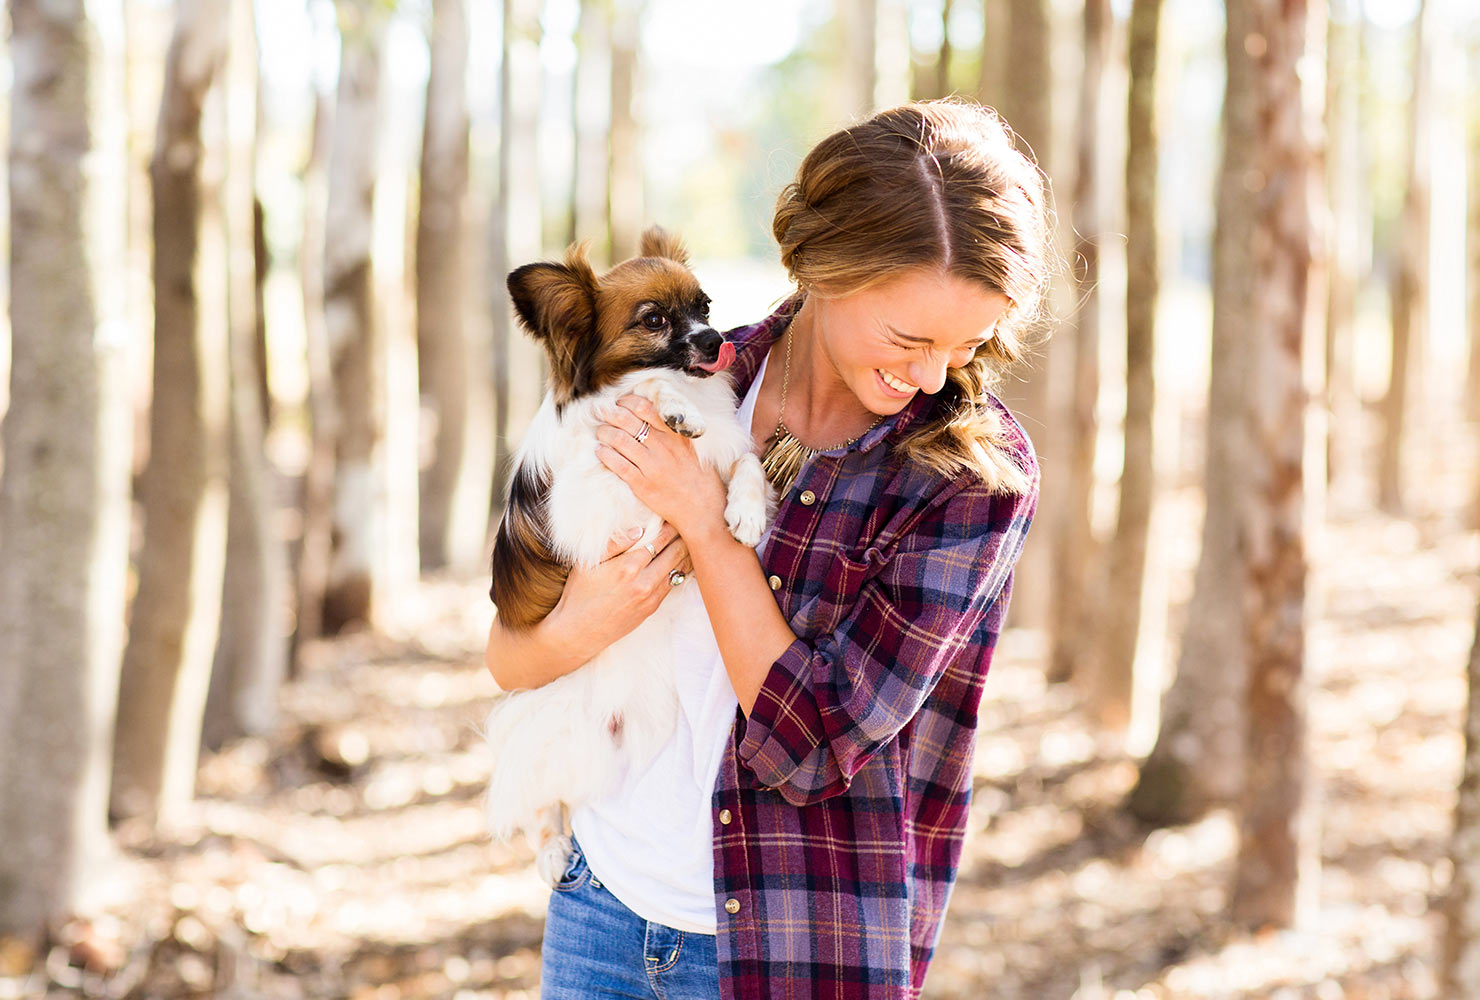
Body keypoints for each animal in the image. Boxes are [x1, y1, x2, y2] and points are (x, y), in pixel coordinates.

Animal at [485, 224, 769, 881]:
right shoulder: (588, 506)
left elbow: (744, 462)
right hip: (532, 726)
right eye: (654, 320)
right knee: (540, 799)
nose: (715, 339)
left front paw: (745, 514)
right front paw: (671, 408)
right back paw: (552, 849)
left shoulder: (724, 453)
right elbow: (648, 394)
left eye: (706, 306)